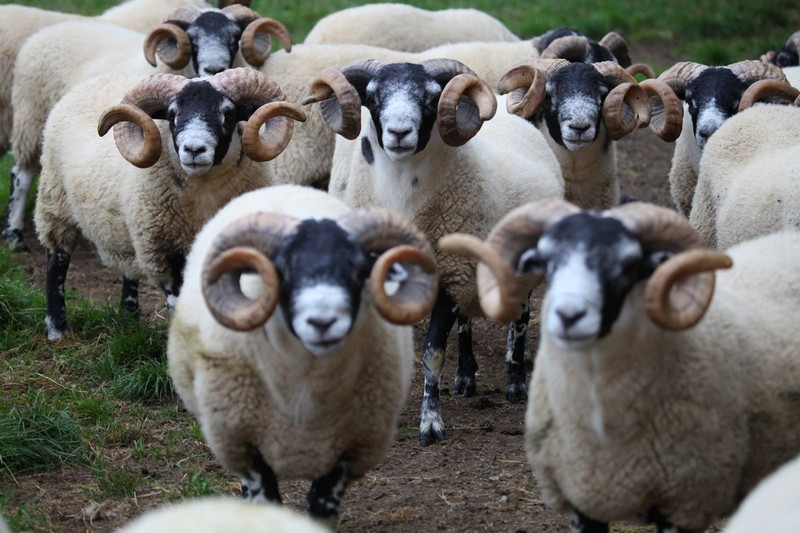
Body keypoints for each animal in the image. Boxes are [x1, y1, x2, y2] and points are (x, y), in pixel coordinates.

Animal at [3, 4, 292, 249]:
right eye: (192, 38)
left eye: (234, 38)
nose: (214, 68)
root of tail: (45, 32)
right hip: (32, 120)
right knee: (21, 174)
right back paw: (14, 234)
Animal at [33, 68, 306, 342]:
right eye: (172, 114)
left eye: (228, 113)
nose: (194, 149)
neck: (203, 199)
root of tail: (91, 83)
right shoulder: (167, 252)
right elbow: (177, 303)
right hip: (55, 201)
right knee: (57, 259)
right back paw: (57, 328)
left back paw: (129, 317)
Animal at [166, 184, 438, 523]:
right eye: (282, 271)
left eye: (359, 269)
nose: (322, 322)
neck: (305, 389)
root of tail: (283, 186)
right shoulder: (245, 445)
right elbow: (266, 501)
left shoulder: (348, 447)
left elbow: (321, 506)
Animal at [302, 58, 565, 446]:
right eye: (372, 96)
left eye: (429, 99)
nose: (398, 133)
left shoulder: (448, 277)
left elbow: (432, 353)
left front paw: (430, 423)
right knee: (467, 323)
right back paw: (465, 379)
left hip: (518, 268)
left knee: (519, 319)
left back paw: (516, 383)